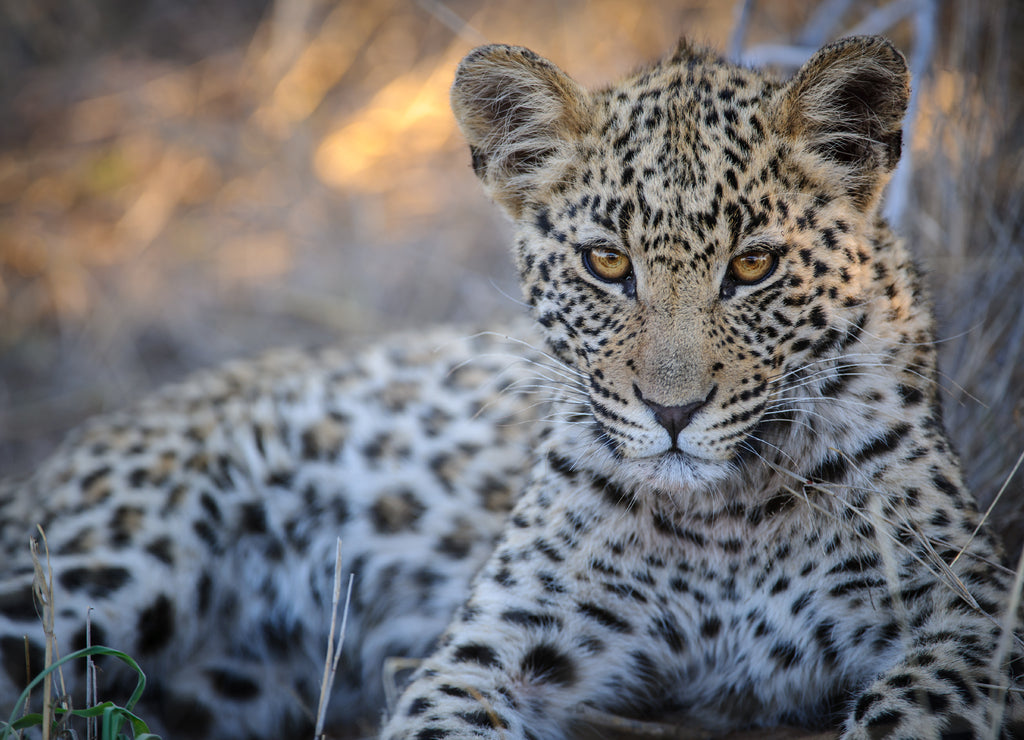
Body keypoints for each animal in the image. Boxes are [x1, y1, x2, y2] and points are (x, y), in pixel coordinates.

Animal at [0, 34, 1021, 740]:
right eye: (607, 264)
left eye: (754, 266)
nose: (674, 413)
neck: (724, 519)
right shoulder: (490, 653)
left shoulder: (969, 622)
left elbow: (917, 709)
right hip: (91, 564)